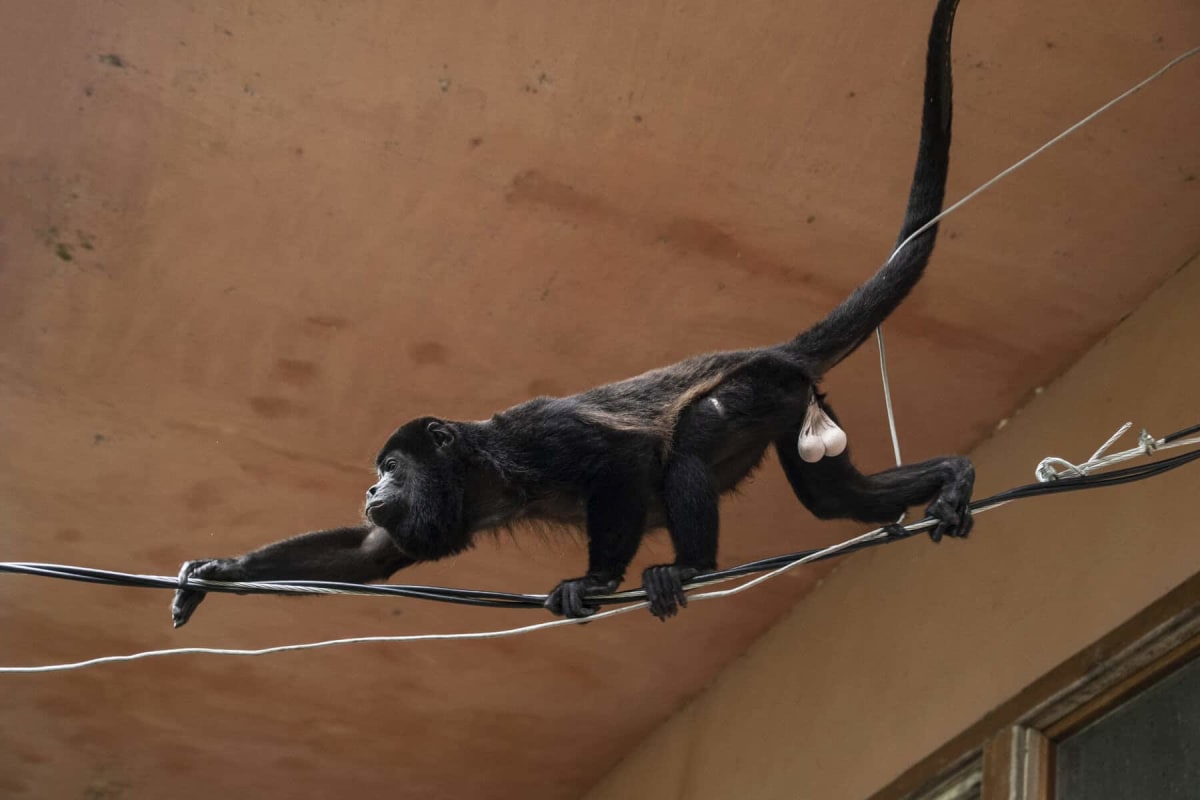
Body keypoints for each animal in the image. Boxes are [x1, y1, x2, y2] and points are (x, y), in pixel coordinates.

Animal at [171, 0, 971, 628]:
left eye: (390, 468)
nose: (371, 489)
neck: (477, 469)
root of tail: (777, 352)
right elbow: (369, 551)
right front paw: (219, 571)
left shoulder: (534, 437)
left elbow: (622, 461)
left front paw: (595, 579)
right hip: (796, 402)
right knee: (834, 497)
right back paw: (952, 476)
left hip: (757, 386)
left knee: (692, 442)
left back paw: (688, 565)